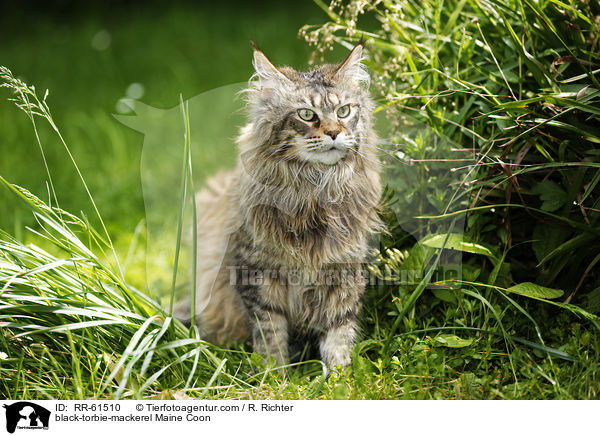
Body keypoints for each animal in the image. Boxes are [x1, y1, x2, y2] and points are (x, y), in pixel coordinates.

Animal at [178, 41, 384, 370]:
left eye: (344, 111)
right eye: (307, 114)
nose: (334, 133)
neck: (315, 191)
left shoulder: (344, 270)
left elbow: (339, 333)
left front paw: (339, 376)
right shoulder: (257, 273)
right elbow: (270, 333)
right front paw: (275, 374)